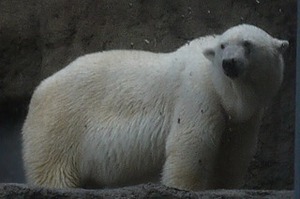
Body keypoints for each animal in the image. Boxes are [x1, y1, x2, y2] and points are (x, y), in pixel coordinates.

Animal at [21, 24, 288, 190]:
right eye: (223, 46)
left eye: (247, 44)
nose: (229, 63)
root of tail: (40, 90)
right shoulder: (197, 93)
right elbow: (193, 142)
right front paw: (183, 186)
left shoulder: (244, 118)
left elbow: (233, 153)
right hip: (61, 123)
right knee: (53, 170)